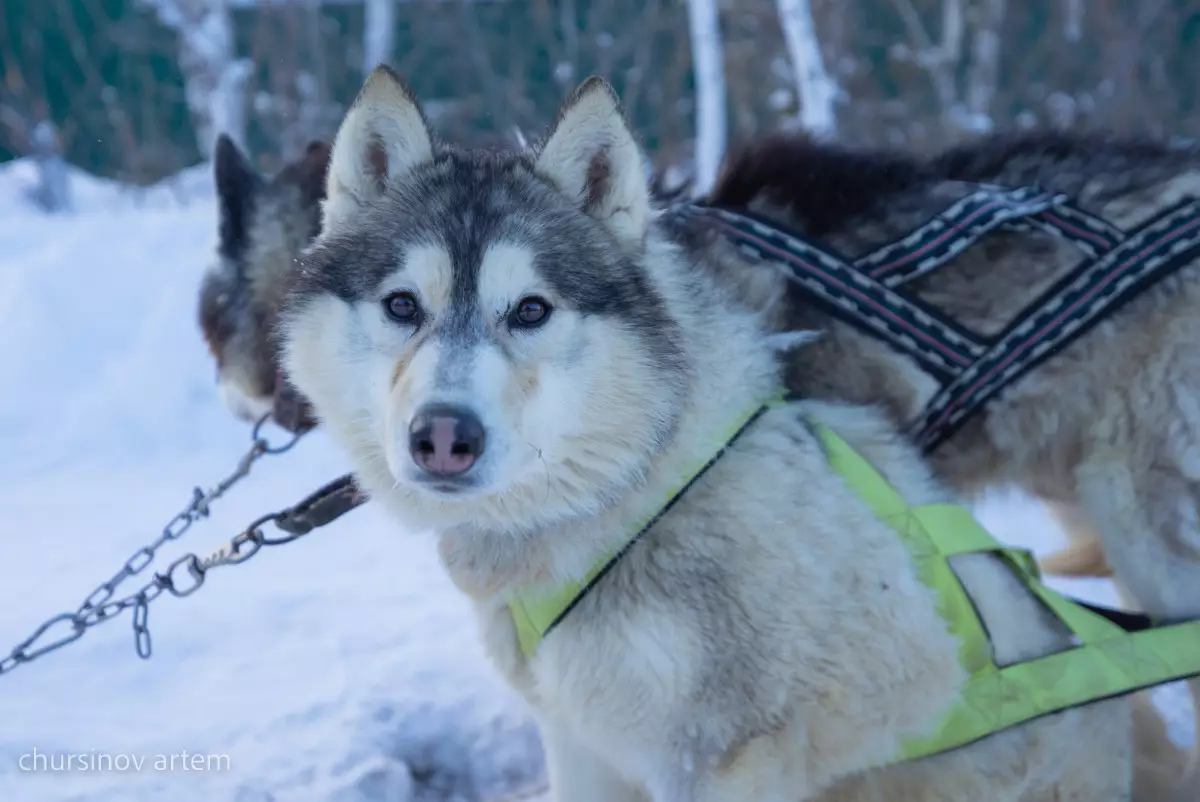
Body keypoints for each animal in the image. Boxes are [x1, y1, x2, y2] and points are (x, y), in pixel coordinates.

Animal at [278, 67, 1132, 802]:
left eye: (530, 310)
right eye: (401, 305)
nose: (443, 435)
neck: (635, 498)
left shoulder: (724, 759)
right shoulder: (578, 739)